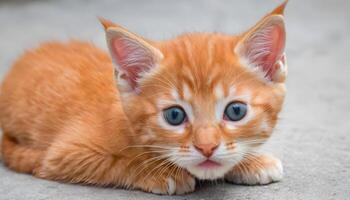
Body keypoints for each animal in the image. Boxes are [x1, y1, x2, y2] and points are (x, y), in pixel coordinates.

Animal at [0, 1, 288, 195]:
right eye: (174, 115)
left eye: (235, 111)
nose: (206, 148)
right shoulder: (63, 155)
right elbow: (117, 162)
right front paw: (160, 172)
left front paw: (252, 161)